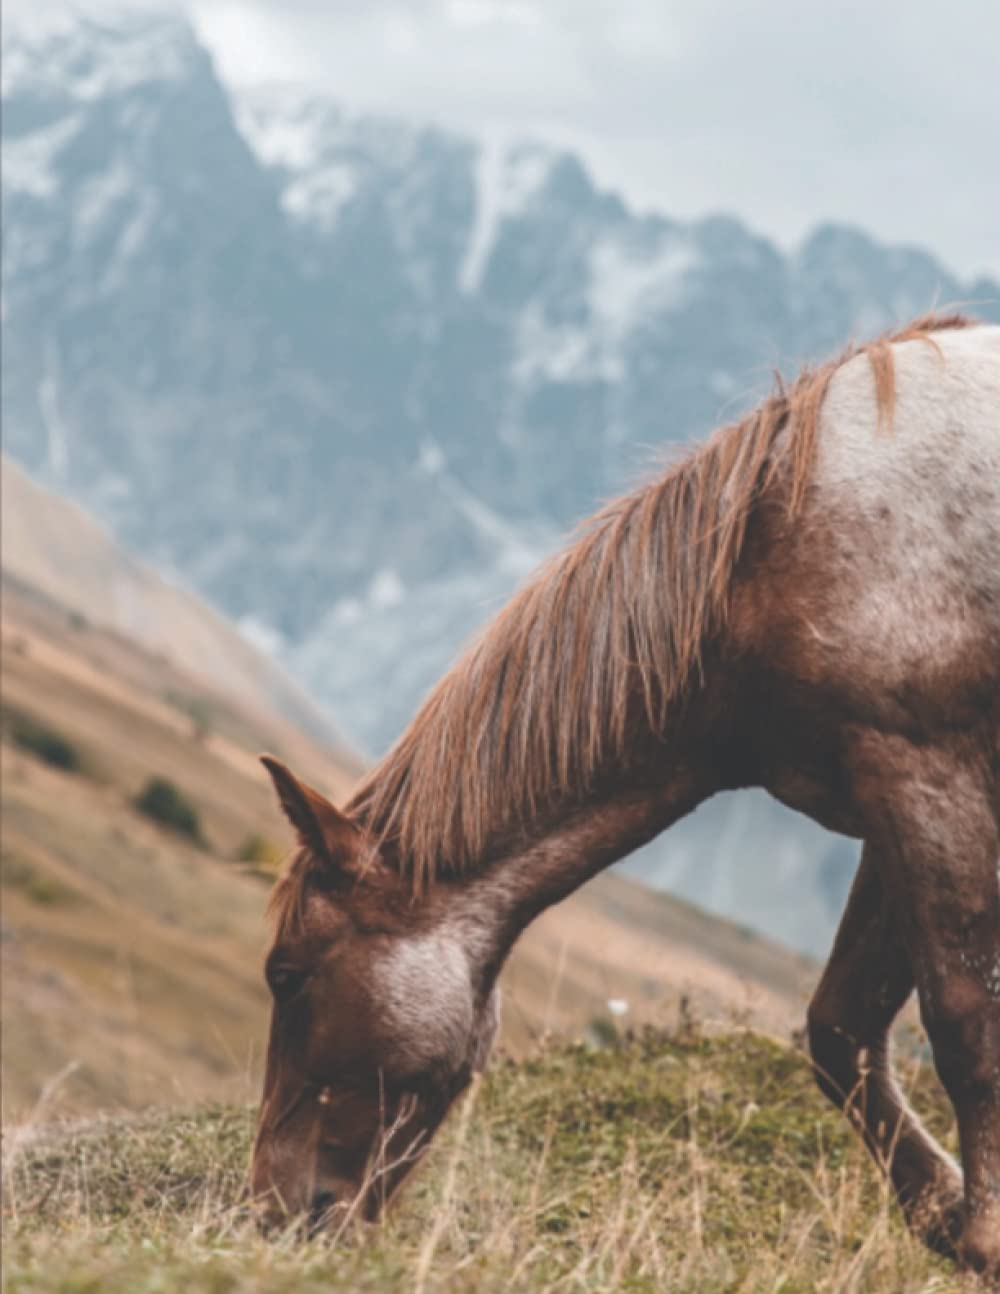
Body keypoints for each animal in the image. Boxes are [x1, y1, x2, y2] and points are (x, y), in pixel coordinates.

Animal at [251, 313, 1000, 1273]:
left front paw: (982, 1235)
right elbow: (841, 1030)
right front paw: (942, 1209)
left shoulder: (929, 779)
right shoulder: (889, 806)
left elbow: (964, 1021)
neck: (776, 546)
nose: (272, 1212)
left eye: (287, 976)